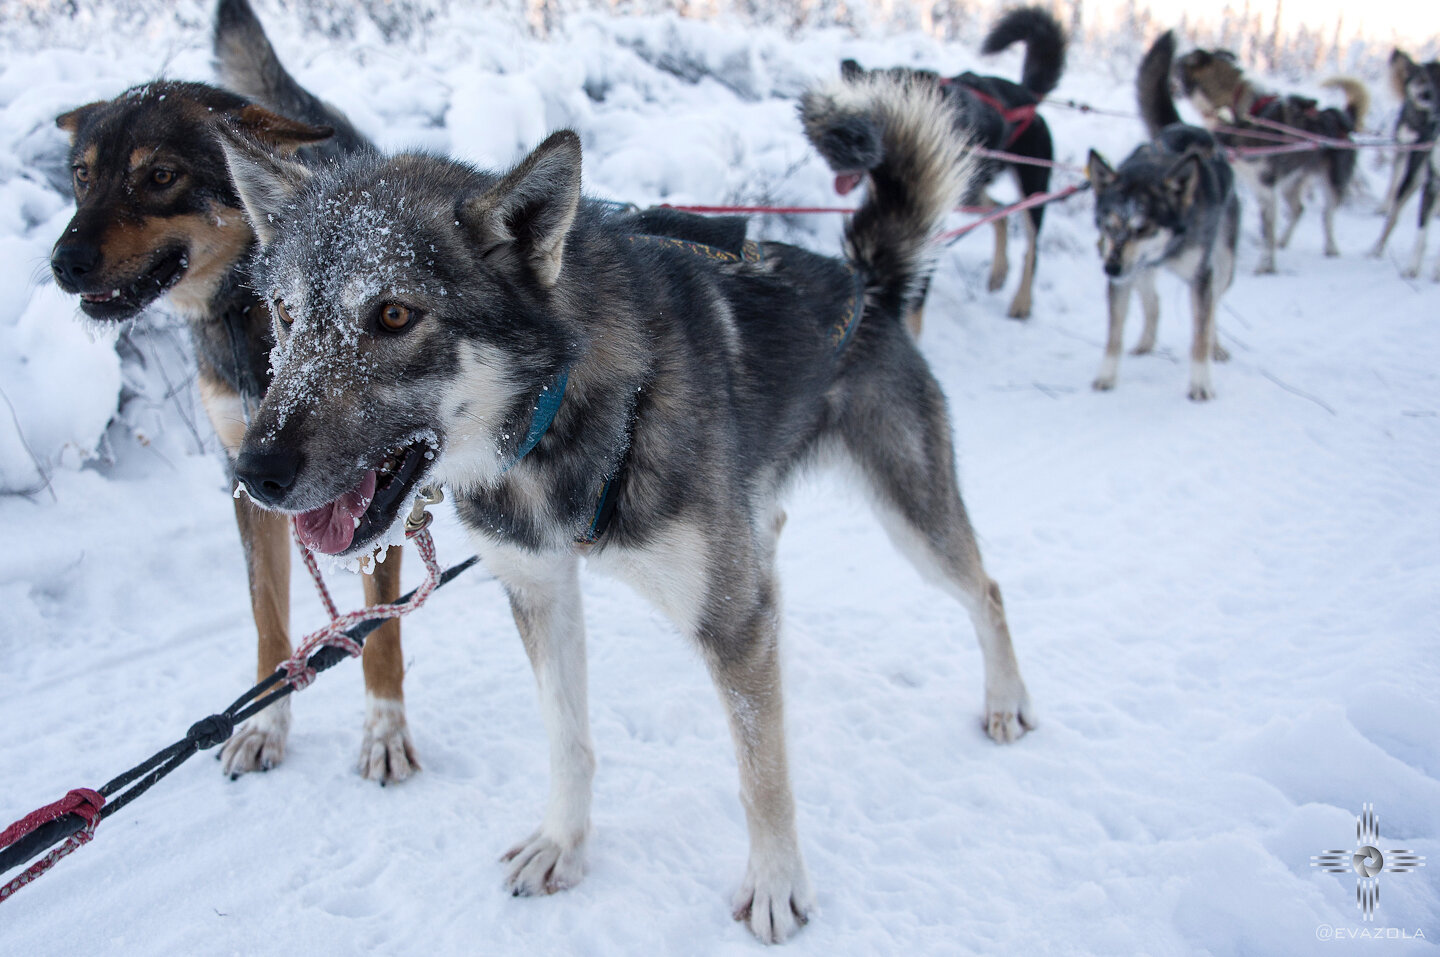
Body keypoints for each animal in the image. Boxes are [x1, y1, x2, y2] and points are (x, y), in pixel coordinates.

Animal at [45, 0, 417, 782]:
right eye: (81, 176)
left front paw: (384, 731)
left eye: (160, 174)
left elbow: (381, 625)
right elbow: (269, 620)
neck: (246, 313)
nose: (63, 261)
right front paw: (265, 725)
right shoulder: (247, 473)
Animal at [218, 74, 1036, 938]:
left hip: (911, 512)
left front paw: (777, 882)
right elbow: (567, 737)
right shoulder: (539, 588)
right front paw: (564, 842)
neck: (561, 414)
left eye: (395, 315)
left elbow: (761, 771)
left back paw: (1007, 701)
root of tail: (867, 283)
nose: (253, 470)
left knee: (984, 589)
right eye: (285, 313)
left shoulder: (722, 619)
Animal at [1088, 32, 1238, 400]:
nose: (1110, 268)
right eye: (1108, 226)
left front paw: (1201, 383)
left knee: (1213, 311)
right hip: (1138, 269)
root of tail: (1186, 126)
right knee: (1153, 301)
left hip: (1223, 264)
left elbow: (1200, 331)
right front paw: (1107, 376)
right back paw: (1145, 341)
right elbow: (1114, 333)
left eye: (1143, 228)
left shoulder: (1201, 277)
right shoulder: (1124, 272)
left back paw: (1217, 346)